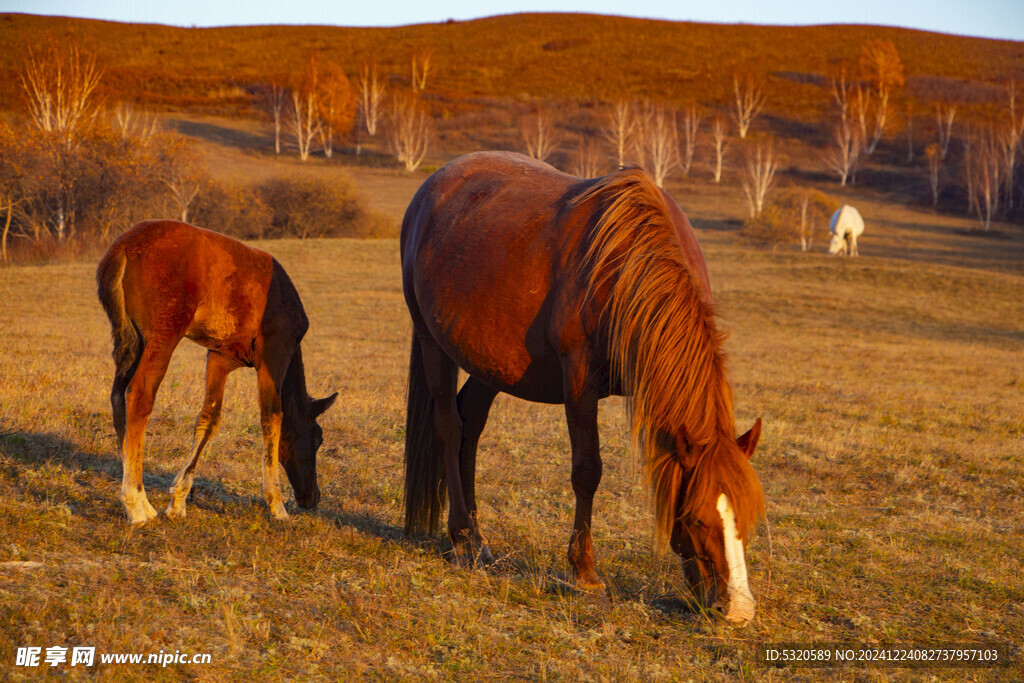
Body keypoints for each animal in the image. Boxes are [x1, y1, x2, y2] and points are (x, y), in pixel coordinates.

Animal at [96, 222, 337, 528]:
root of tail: (123, 247)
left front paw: (178, 501)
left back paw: (140, 497)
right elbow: (273, 415)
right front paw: (277, 505)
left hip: (130, 337)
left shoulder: (220, 356)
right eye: (318, 438)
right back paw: (136, 503)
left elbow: (209, 418)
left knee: (118, 395)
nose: (312, 497)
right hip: (163, 333)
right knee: (139, 394)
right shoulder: (274, 352)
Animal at [403, 152, 765, 622]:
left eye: (748, 518)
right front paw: (585, 573)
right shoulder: (578, 380)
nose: (738, 609)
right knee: (449, 427)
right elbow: (587, 470)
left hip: (489, 363)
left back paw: (479, 541)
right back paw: (463, 539)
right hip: (433, 342)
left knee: (471, 427)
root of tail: (433, 186)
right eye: (699, 519)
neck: (625, 265)